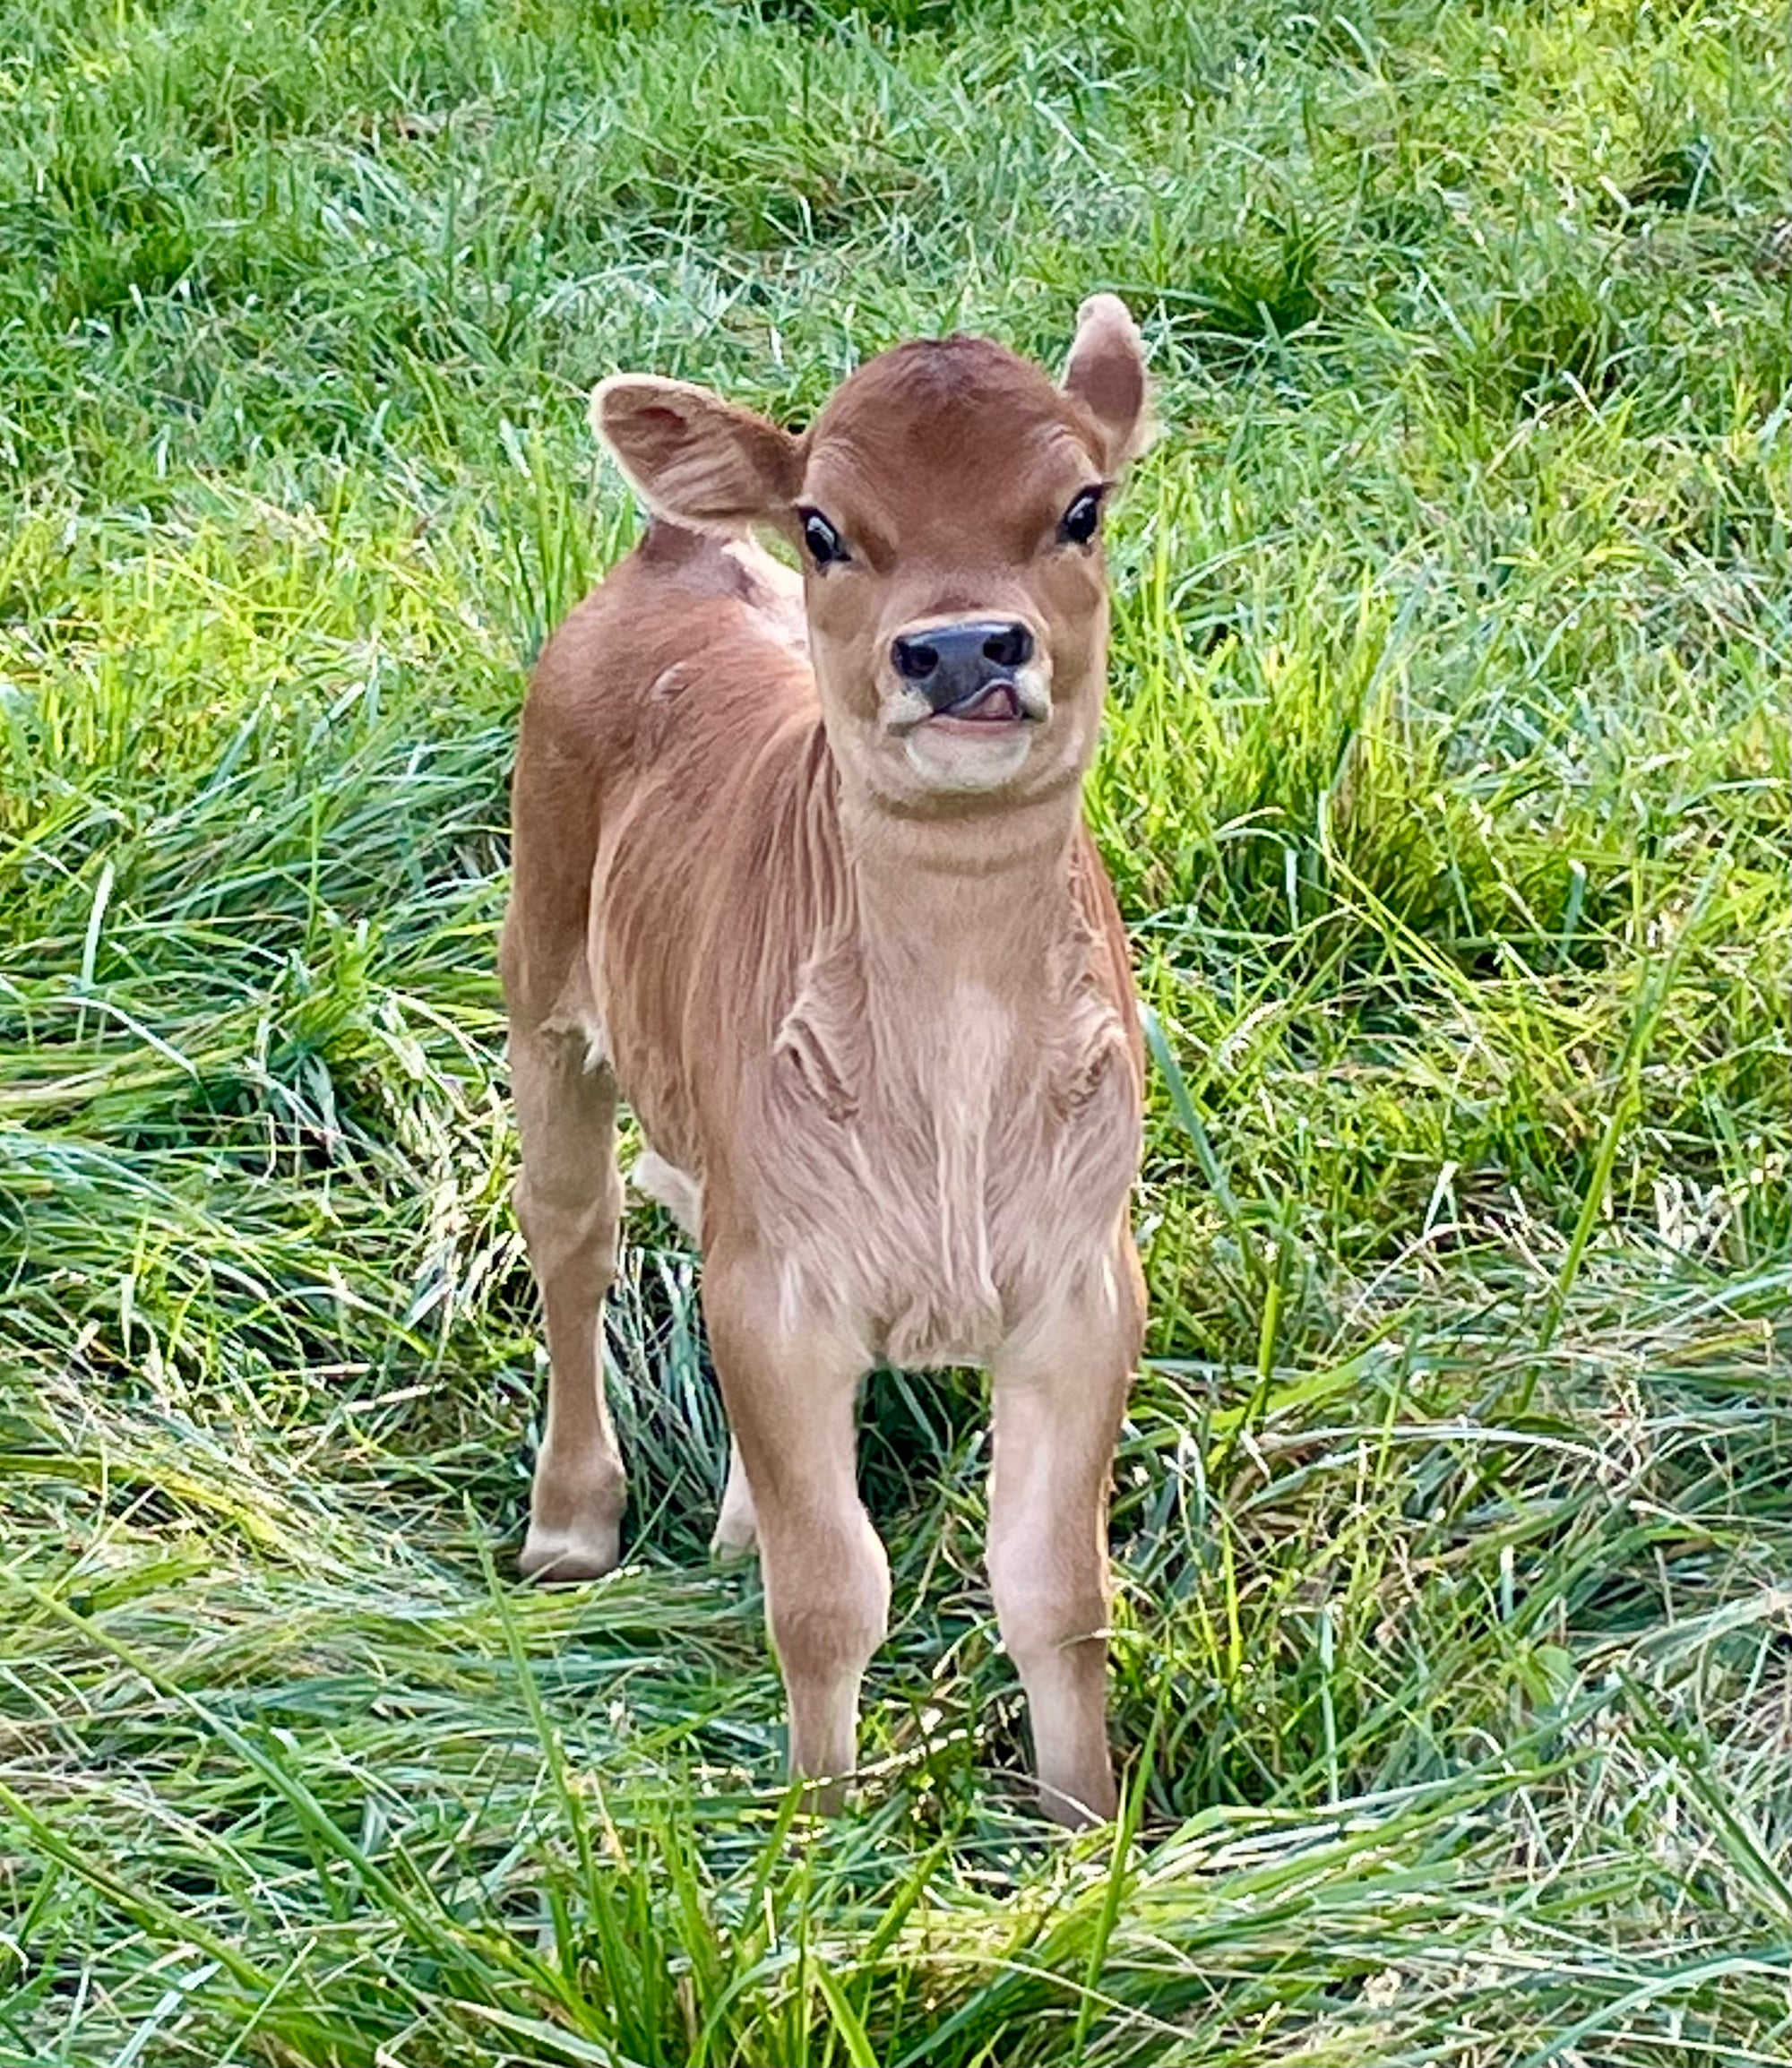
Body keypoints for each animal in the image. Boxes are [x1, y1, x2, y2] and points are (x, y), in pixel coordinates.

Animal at [500, 296, 1151, 1826]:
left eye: (1081, 506)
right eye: (823, 527)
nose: (963, 651)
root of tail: (674, 547)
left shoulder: (1084, 1285)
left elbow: (1056, 1591)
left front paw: (1086, 1826)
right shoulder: (783, 1289)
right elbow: (828, 1593)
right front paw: (822, 1827)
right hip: (539, 972)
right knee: (574, 1237)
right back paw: (571, 1523)